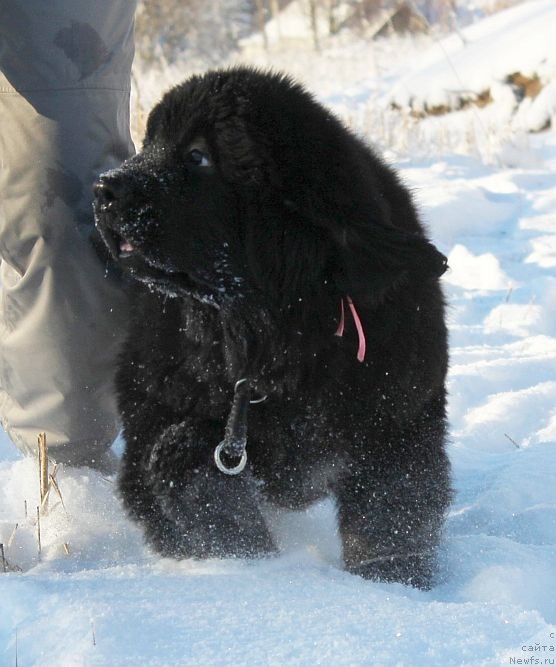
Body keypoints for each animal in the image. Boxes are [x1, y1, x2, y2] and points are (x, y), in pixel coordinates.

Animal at [94, 68, 452, 588]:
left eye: (198, 156)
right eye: (148, 143)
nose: (103, 189)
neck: (267, 335)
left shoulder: (396, 419)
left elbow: (390, 512)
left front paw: (393, 583)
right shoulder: (160, 408)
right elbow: (178, 457)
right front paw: (251, 560)